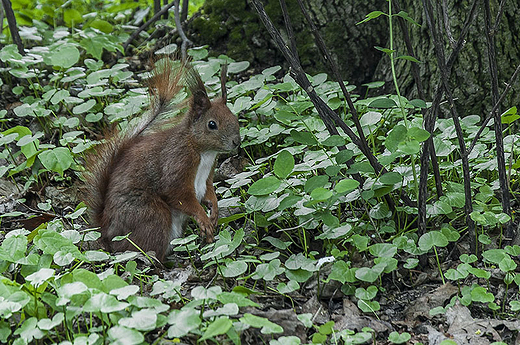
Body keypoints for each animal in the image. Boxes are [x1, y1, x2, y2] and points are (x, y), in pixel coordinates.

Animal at [84, 59, 242, 260]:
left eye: (234, 116)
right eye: (212, 124)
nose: (237, 141)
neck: (203, 152)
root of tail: (106, 233)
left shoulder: (207, 175)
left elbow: (209, 191)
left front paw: (214, 211)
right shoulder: (176, 163)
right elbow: (180, 195)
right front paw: (204, 219)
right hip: (152, 216)